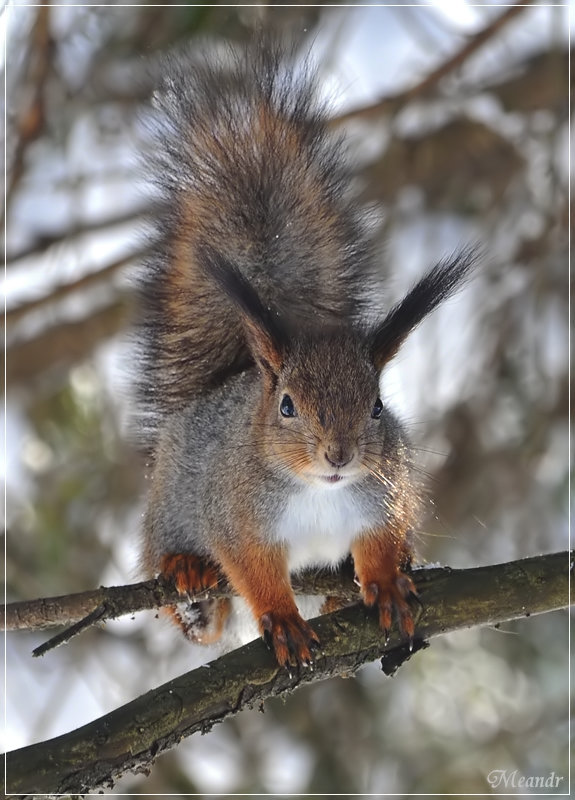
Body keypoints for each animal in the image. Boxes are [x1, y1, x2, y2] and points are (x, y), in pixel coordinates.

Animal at [137, 43, 474, 668]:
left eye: (377, 405)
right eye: (288, 406)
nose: (339, 455)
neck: (321, 491)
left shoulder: (384, 496)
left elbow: (380, 542)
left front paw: (387, 581)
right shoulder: (239, 516)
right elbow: (253, 570)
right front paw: (283, 620)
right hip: (171, 502)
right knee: (176, 573)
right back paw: (189, 577)